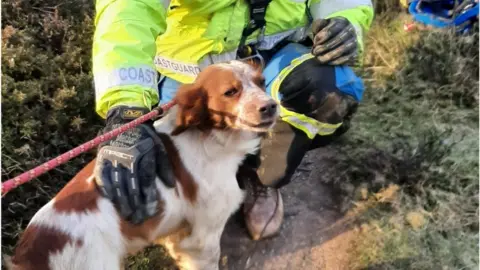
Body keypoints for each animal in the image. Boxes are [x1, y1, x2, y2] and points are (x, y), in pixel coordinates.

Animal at [6, 61, 278, 270]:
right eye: (231, 92)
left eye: (261, 82)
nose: (271, 106)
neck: (208, 136)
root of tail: (28, 254)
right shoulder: (204, 236)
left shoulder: (179, 234)